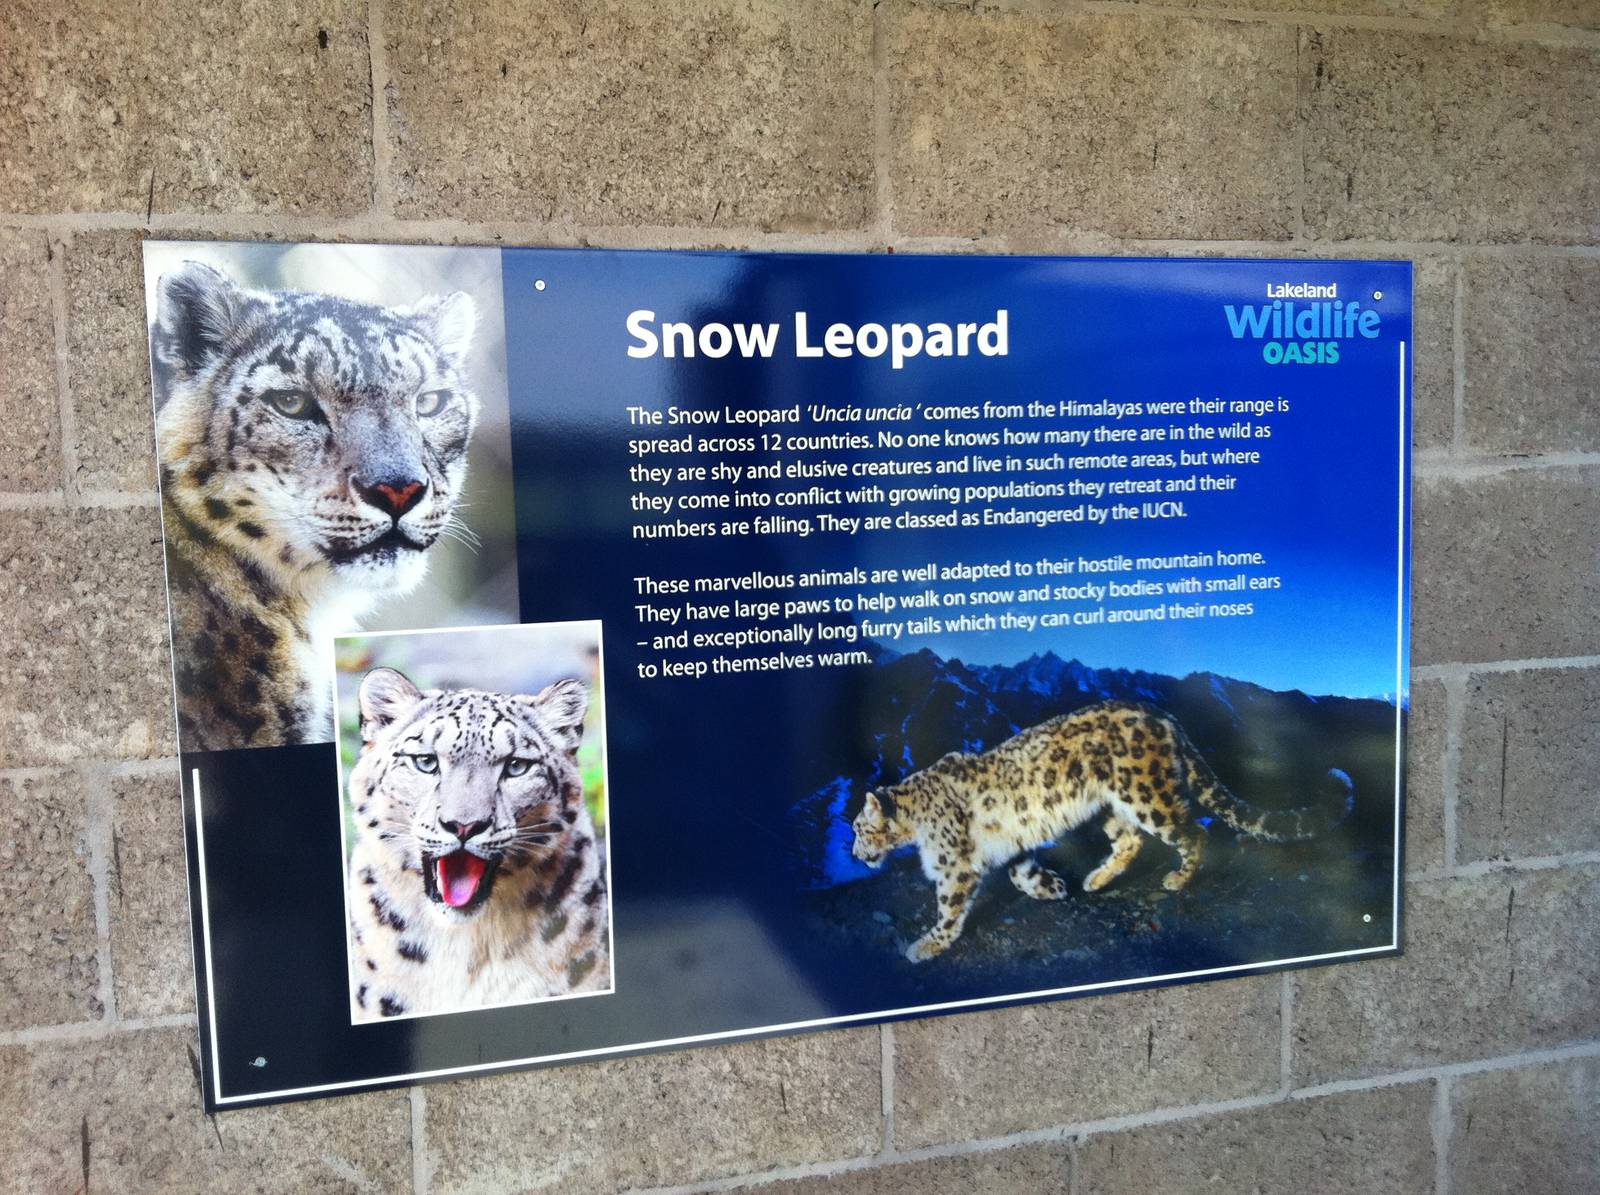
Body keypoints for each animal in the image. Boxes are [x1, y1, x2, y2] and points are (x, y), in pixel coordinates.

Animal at [850, 700, 1354, 961]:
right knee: (1130, 840)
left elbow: (949, 907)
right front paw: (1051, 887)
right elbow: (1019, 870)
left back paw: (1177, 879)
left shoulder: (954, 866)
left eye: (858, 828)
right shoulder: (1011, 844)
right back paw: (1096, 879)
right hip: (1110, 805)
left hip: (1146, 793)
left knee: (1193, 831)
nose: (854, 854)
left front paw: (927, 944)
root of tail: (1164, 716)